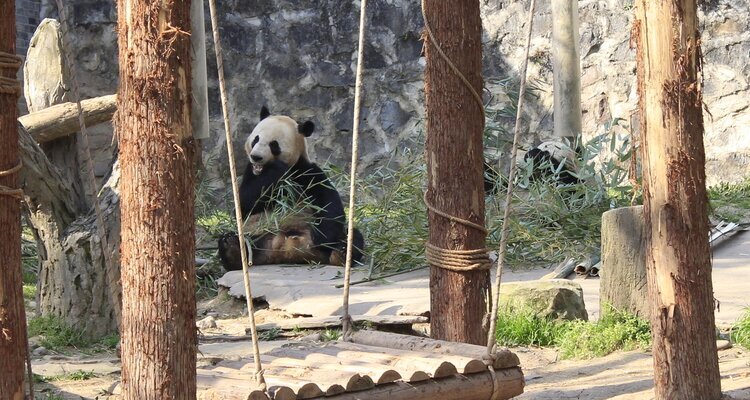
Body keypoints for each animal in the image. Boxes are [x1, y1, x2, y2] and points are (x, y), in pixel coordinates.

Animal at [217, 106, 365, 270]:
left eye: (274, 145)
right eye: (256, 139)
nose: (256, 156)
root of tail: (287, 251)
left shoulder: (306, 172)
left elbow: (328, 202)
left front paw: (324, 238)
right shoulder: (250, 173)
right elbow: (243, 203)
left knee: (353, 235)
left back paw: (342, 253)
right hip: (260, 234)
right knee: (241, 241)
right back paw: (232, 250)